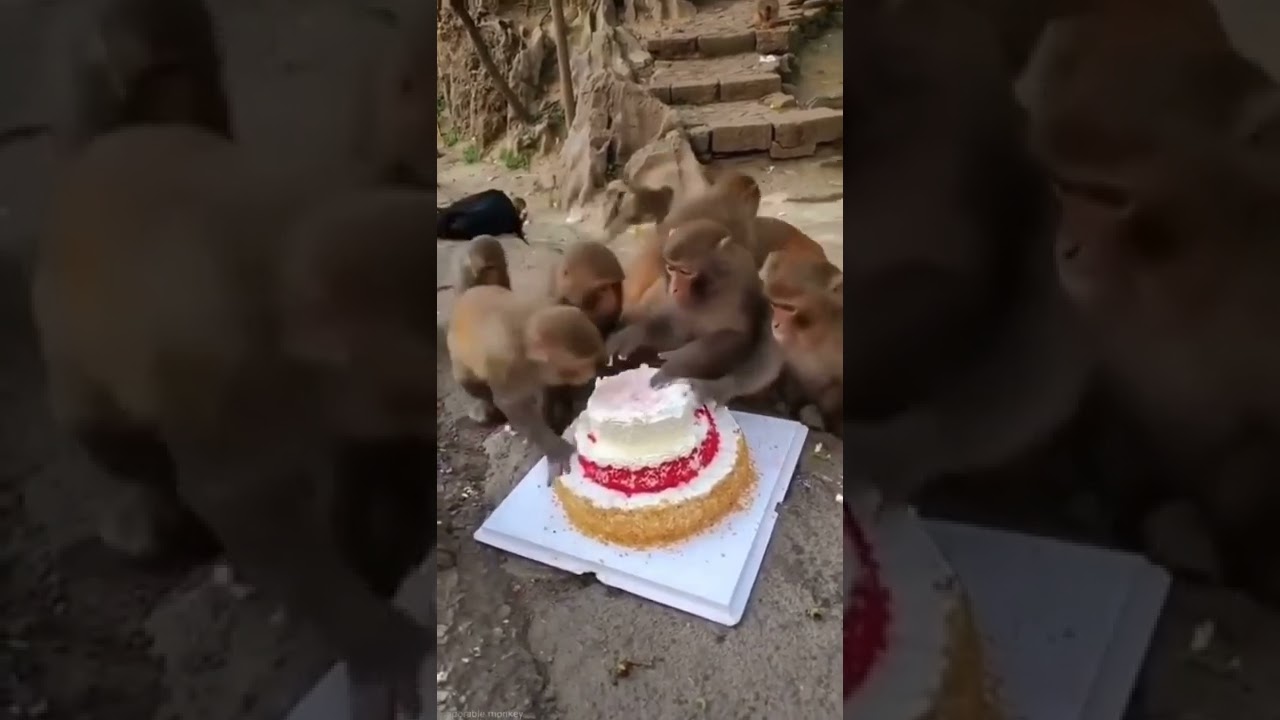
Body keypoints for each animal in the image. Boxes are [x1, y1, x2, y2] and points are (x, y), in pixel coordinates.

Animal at [446, 287, 605, 480]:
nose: (592, 373)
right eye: (575, 369)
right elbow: (512, 404)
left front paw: (554, 417)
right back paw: (488, 407)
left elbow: (549, 387)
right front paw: (555, 449)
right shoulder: (507, 361)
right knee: (470, 381)